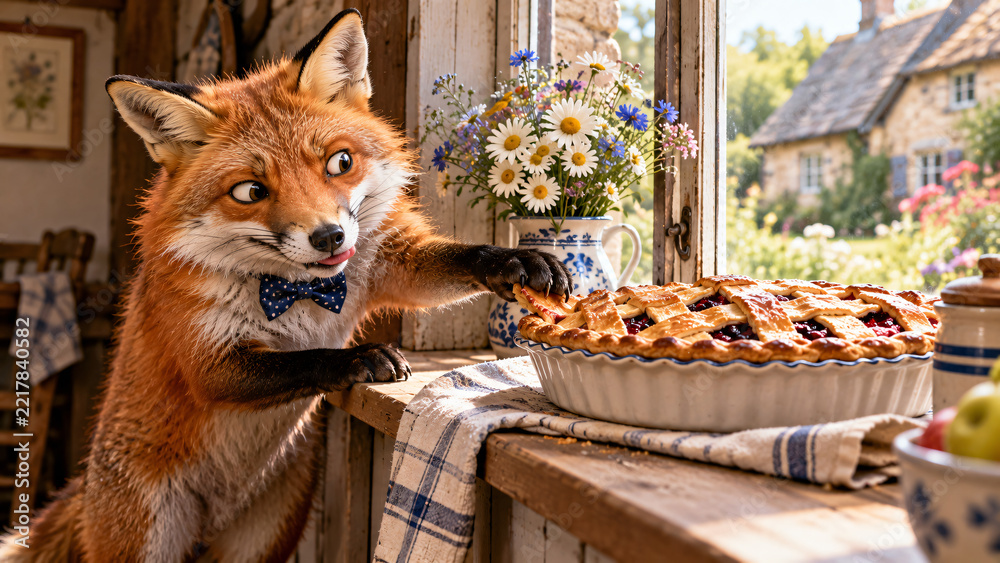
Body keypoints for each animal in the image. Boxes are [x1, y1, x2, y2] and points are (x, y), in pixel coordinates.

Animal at [0, 9, 571, 562]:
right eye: (250, 191)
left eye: (340, 162)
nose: (329, 236)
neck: (300, 291)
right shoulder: (208, 361)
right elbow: (303, 358)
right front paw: (358, 358)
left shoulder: (391, 260)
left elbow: (458, 258)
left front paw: (515, 260)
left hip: (263, 539)